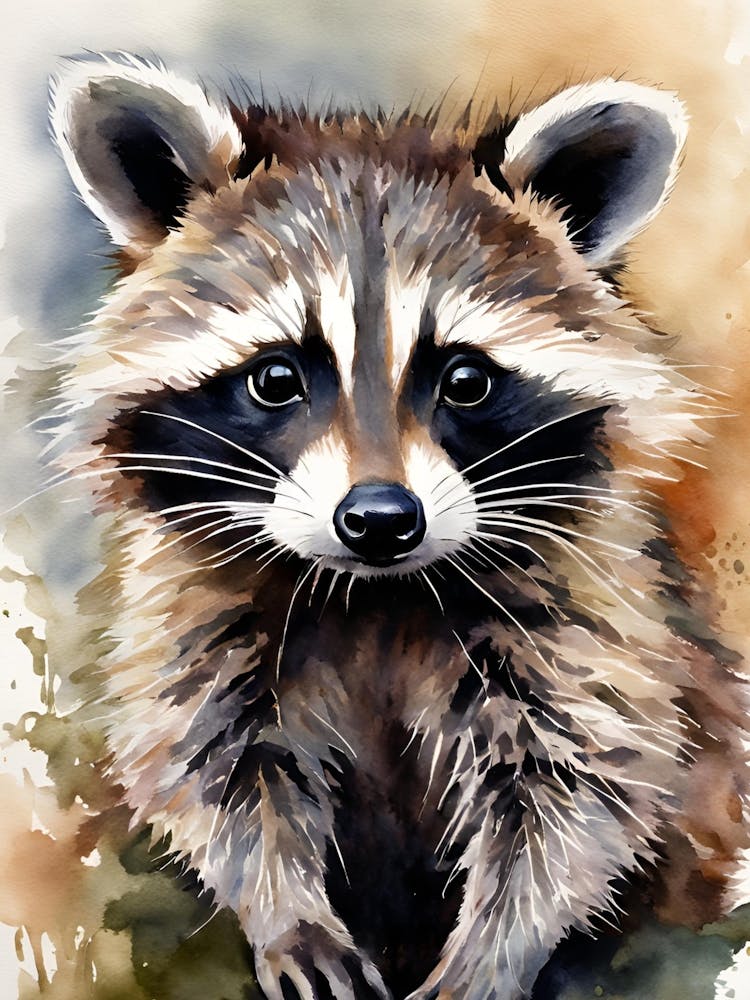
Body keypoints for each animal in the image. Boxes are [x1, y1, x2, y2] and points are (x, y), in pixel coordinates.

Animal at [46, 53, 750, 1000]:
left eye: (465, 380)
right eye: (276, 378)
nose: (379, 519)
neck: (373, 594)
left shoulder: (584, 610)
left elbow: (580, 785)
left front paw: (493, 948)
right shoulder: (196, 609)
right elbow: (214, 766)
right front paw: (287, 914)